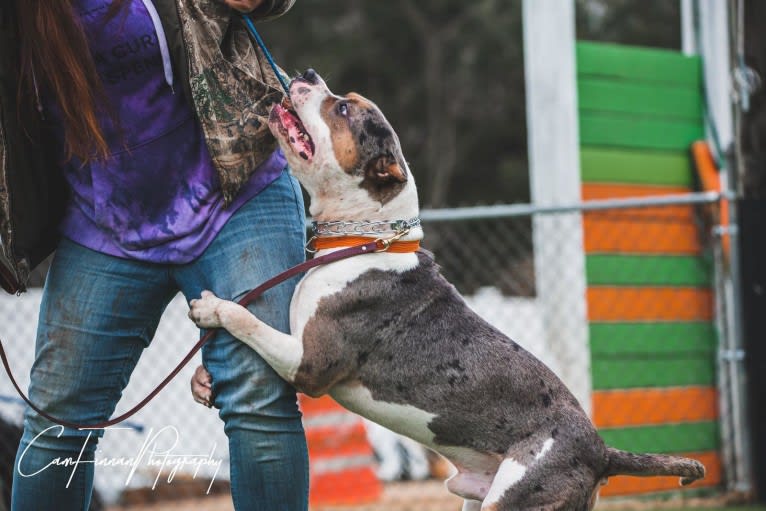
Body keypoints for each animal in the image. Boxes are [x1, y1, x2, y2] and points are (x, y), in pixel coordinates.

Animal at [188, 69, 708, 511]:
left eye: (343, 109)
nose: (308, 74)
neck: (362, 240)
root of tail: (602, 451)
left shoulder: (311, 365)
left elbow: (247, 318)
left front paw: (213, 308)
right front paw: (202, 380)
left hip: (517, 495)